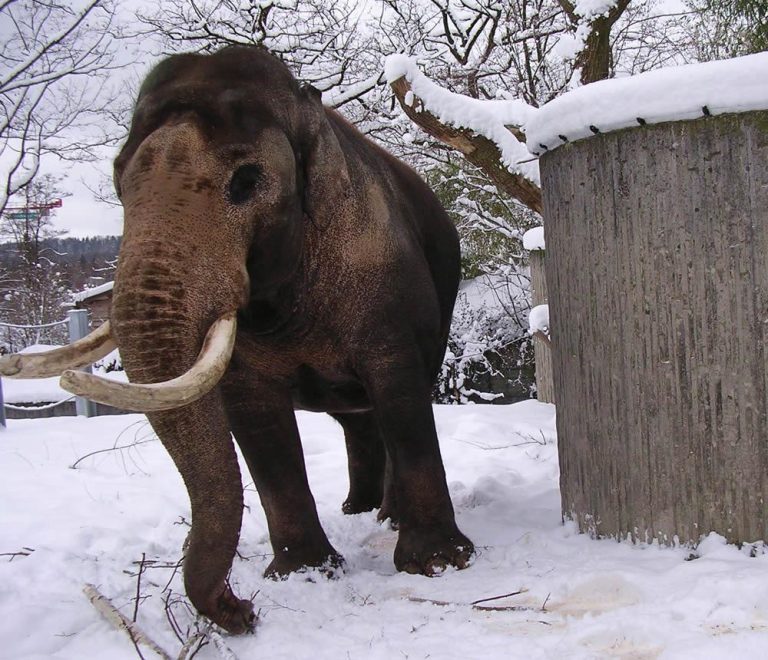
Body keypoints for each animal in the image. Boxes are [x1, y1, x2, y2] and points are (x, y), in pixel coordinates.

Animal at [0, 46, 474, 633]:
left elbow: (400, 392)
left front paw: (438, 564)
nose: (242, 610)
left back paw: (385, 518)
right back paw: (359, 512)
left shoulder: (384, 282)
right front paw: (302, 575)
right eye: (117, 183)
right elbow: (254, 419)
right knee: (355, 419)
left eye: (246, 181)